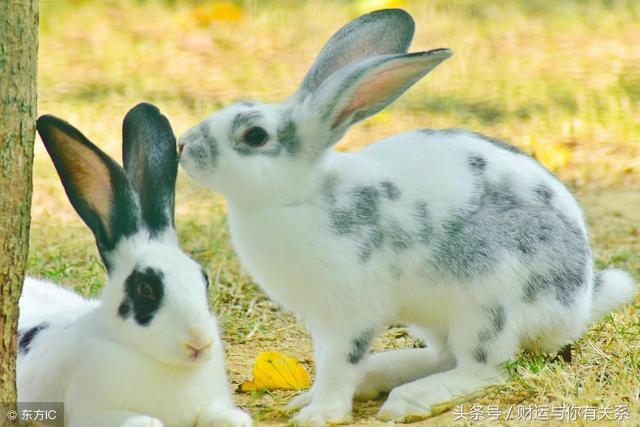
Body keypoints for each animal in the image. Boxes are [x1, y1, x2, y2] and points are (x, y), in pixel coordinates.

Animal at [18, 103, 252, 427]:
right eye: (145, 288)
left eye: (203, 279)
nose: (199, 341)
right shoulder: (92, 411)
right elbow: (142, 421)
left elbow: (222, 415)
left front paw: (234, 420)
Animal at [178, 7, 636, 427]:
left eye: (254, 136)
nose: (182, 144)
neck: (300, 195)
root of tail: (578, 303)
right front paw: (309, 402)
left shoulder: (349, 316)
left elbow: (338, 366)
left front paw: (320, 414)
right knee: (443, 355)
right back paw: (382, 379)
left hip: (488, 305)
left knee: (484, 368)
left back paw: (410, 399)